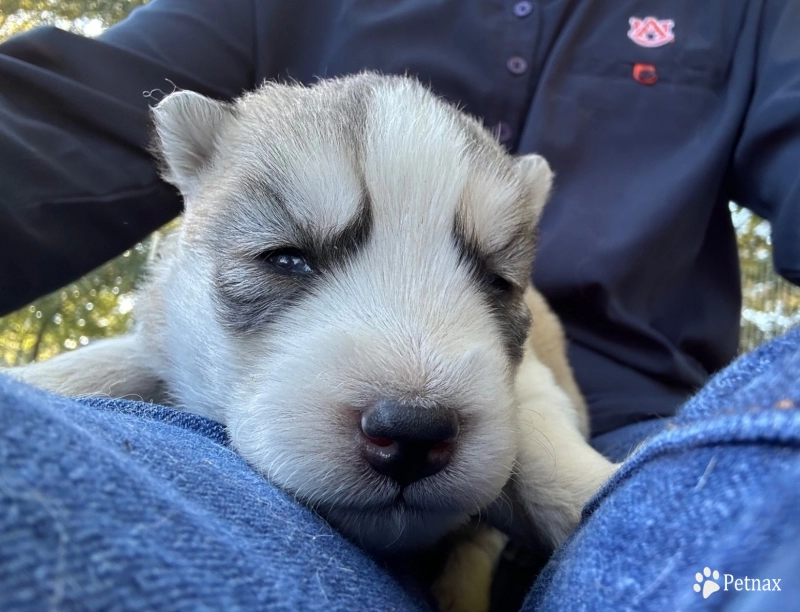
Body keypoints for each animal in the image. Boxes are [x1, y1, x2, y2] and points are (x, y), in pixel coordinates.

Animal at [9, 74, 616, 560]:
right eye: (286, 258)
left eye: (497, 281)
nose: (414, 432)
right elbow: (114, 361)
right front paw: (40, 379)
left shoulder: (532, 382)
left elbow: (543, 440)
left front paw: (597, 486)